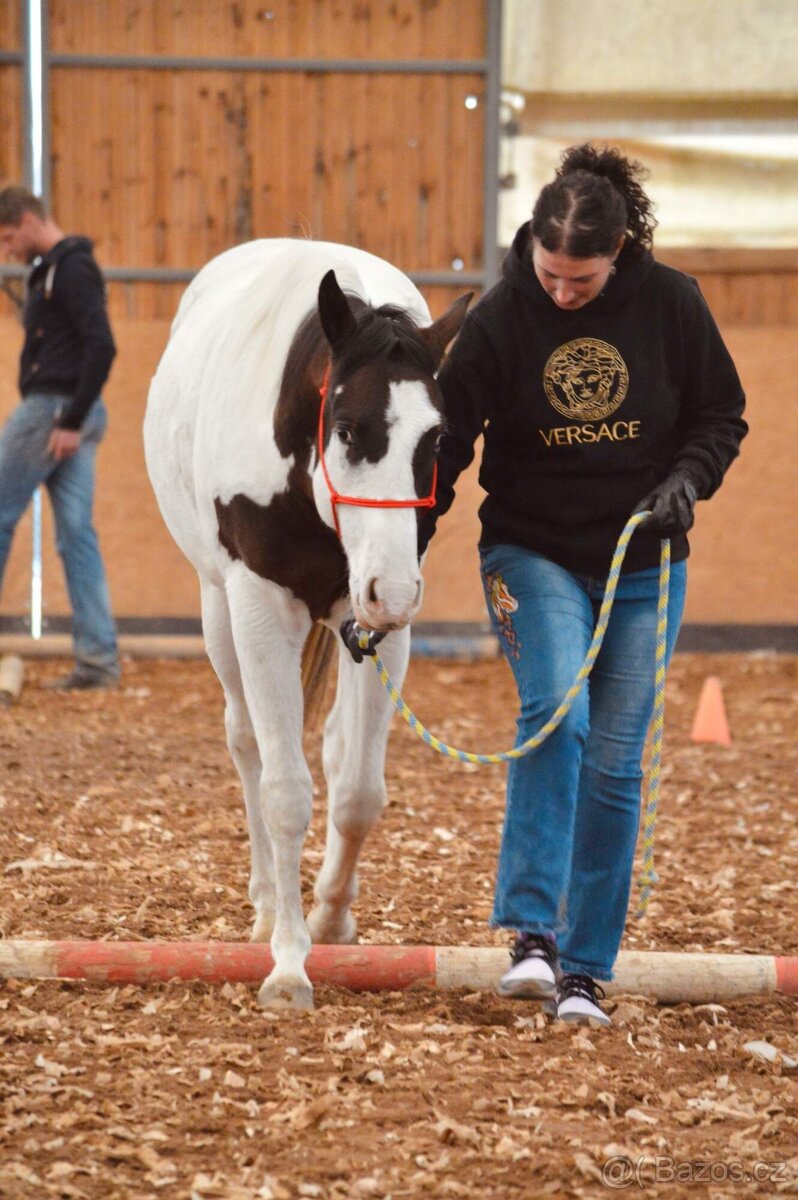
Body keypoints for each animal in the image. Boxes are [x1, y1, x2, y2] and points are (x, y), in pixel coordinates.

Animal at [144, 239, 470, 1010]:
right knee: (247, 743)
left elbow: (356, 793)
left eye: (437, 438)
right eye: (348, 430)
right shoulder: (260, 607)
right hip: (218, 610)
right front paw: (289, 962)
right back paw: (268, 903)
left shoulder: (380, 627)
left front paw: (330, 918)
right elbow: (284, 791)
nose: (396, 590)